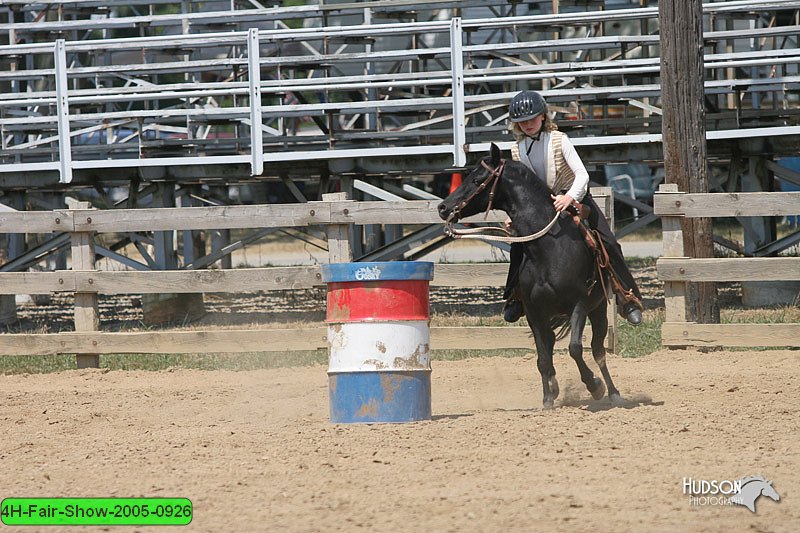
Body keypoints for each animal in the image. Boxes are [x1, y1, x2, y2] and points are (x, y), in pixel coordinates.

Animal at [434, 143, 620, 410]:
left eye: (477, 179)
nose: (443, 207)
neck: (549, 249)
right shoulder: (533, 311)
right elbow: (542, 358)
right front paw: (548, 398)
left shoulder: (580, 304)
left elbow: (575, 348)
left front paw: (594, 386)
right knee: (552, 344)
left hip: (599, 309)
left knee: (598, 350)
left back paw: (613, 392)